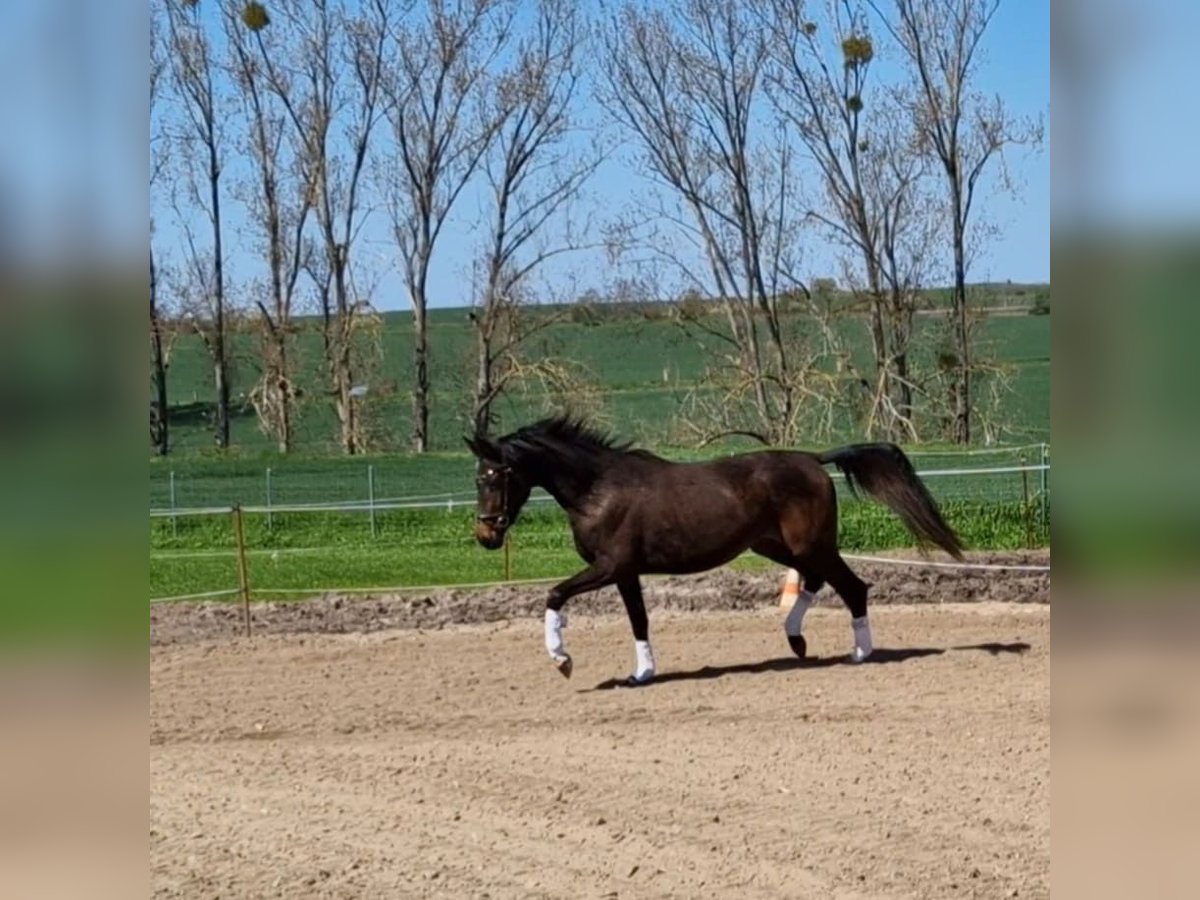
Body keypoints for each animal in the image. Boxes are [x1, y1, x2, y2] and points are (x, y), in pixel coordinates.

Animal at [463, 420, 960, 686]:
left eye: (496, 476)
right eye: (477, 477)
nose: (486, 534)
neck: (597, 490)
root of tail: (813, 459)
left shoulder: (611, 566)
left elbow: (554, 595)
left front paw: (562, 661)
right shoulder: (626, 572)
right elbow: (638, 620)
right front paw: (642, 674)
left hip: (812, 545)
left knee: (853, 586)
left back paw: (859, 653)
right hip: (777, 546)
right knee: (818, 582)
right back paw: (796, 640)